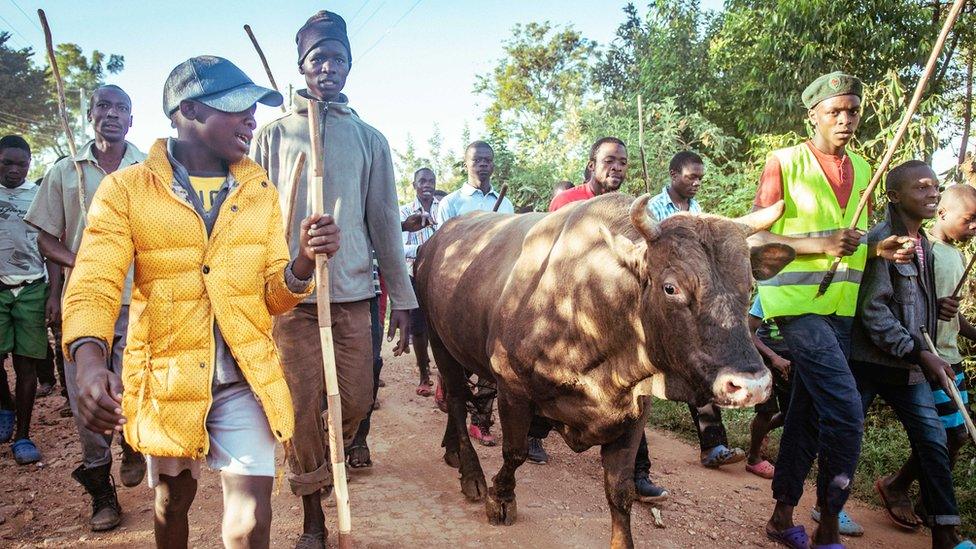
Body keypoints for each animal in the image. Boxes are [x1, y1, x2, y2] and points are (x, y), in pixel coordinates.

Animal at [416, 192, 796, 544]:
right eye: (671, 287)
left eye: (749, 287)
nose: (752, 385)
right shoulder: (512, 388)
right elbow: (515, 453)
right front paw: (501, 499)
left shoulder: (633, 412)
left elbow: (620, 490)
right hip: (439, 340)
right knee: (455, 401)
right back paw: (471, 473)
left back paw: (451, 450)